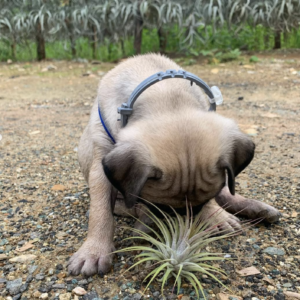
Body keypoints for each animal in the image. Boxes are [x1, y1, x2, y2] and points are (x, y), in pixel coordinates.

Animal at [67, 54, 278, 276]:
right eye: (162, 207)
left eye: (200, 205)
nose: (184, 217)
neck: (167, 97)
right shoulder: (102, 165)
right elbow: (101, 213)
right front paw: (94, 251)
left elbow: (216, 196)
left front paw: (215, 215)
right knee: (129, 209)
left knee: (227, 194)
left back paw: (256, 209)